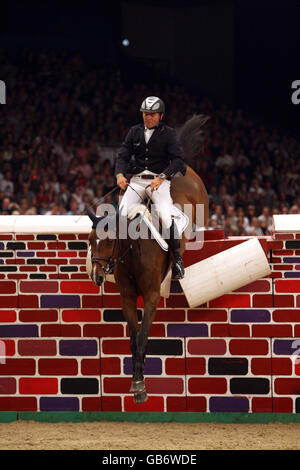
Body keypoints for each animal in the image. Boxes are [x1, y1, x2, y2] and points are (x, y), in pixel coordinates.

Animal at [86, 114, 209, 404]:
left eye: (109, 241)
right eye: (90, 241)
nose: (97, 276)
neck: (132, 252)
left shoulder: (152, 296)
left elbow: (142, 337)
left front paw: (140, 387)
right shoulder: (128, 298)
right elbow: (133, 339)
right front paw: (135, 380)